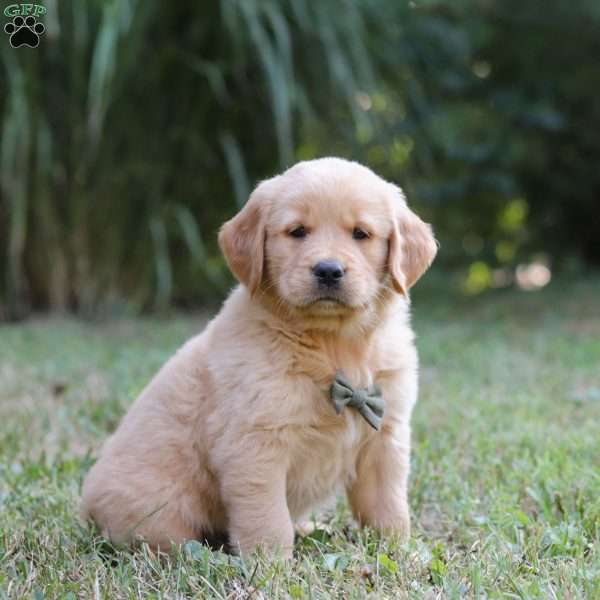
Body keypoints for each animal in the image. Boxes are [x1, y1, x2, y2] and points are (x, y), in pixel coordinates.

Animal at [81, 157, 436, 556]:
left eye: (361, 234)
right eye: (297, 231)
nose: (328, 270)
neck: (332, 344)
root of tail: (86, 506)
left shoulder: (385, 436)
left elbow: (388, 506)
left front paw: (400, 552)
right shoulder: (255, 445)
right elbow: (267, 518)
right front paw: (271, 565)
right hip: (159, 513)